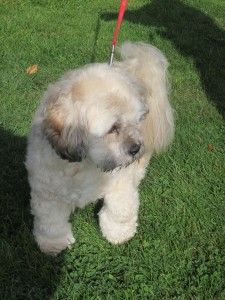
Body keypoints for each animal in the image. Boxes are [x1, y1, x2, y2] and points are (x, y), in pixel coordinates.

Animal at [25, 41, 174, 254]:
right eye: (113, 128)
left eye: (137, 121)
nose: (135, 148)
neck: (86, 164)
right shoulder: (48, 191)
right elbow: (50, 221)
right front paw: (54, 244)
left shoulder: (121, 182)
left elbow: (121, 209)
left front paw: (119, 234)